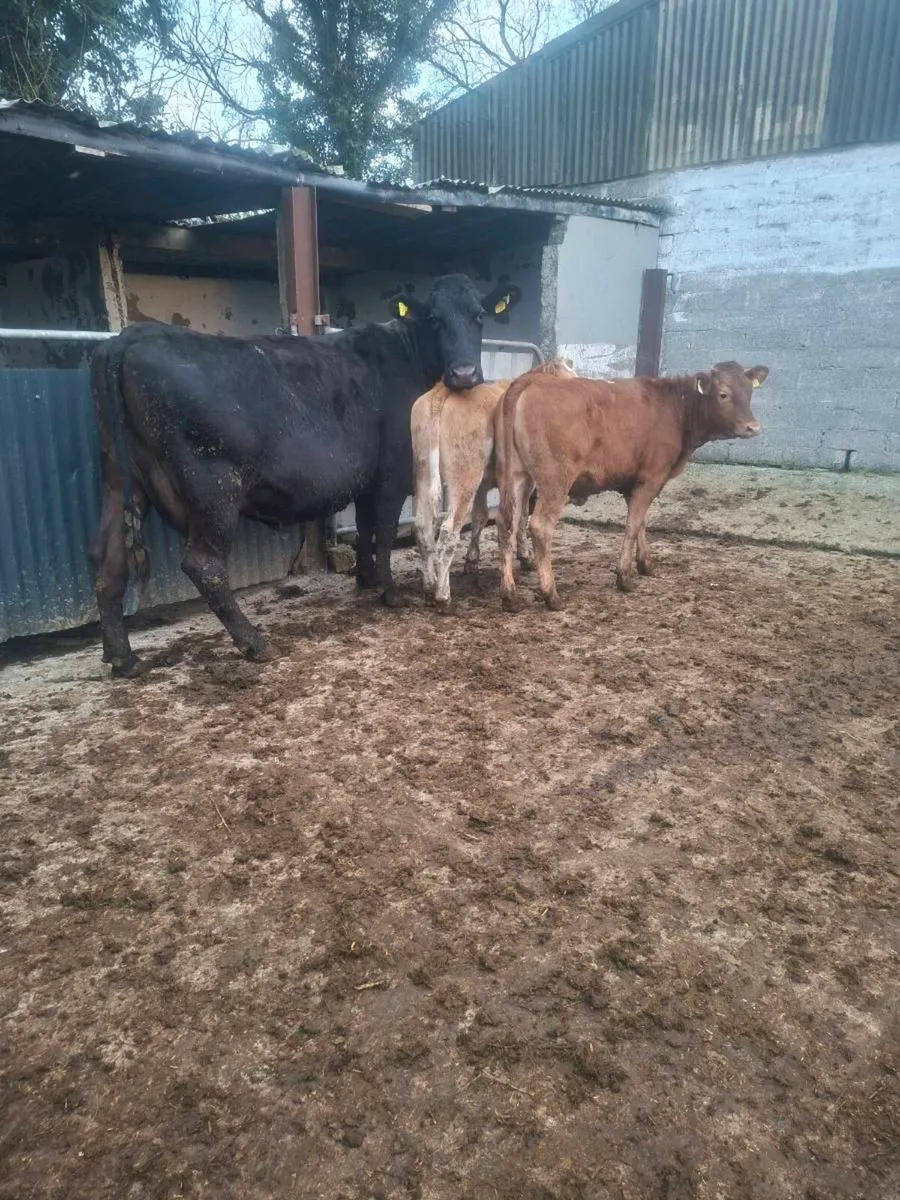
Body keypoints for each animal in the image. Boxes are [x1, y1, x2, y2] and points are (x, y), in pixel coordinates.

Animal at [89, 274, 520, 675]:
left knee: (107, 562)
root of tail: (131, 337)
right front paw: (389, 592)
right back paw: (254, 643)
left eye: (478, 315)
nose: (464, 374)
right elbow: (383, 531)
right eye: (433, 318)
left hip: (119, 481)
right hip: (213, 489)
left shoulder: (367, 481)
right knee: (203, 565)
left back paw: (122, 658)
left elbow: (365, 529)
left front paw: (365, 579)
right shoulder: (391, 473)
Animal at [411, 357, 576, 611]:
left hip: (423, 475)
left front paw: (472, 560)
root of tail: (441, 391)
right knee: (448, 531)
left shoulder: (484, 484)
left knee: (422, 527)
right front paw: (526, 556)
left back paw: (429, 588)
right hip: (465, 476)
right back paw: (443, 596)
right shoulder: (524, 480)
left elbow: (480, 516)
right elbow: (520, 517)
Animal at [494, 361, 769, 611]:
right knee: (540, 526)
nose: (753, 427)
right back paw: (551, 595)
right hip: (555, 480)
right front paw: (625, 577)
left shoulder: (636, 481)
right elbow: (633, 524)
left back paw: (510, 595)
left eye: (749, 391)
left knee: (508, 522)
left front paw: (645, 563)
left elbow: (642, 522)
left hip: (518, 476)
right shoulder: (651, 478)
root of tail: (533, 380)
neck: (674, 407)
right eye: (723, 394)